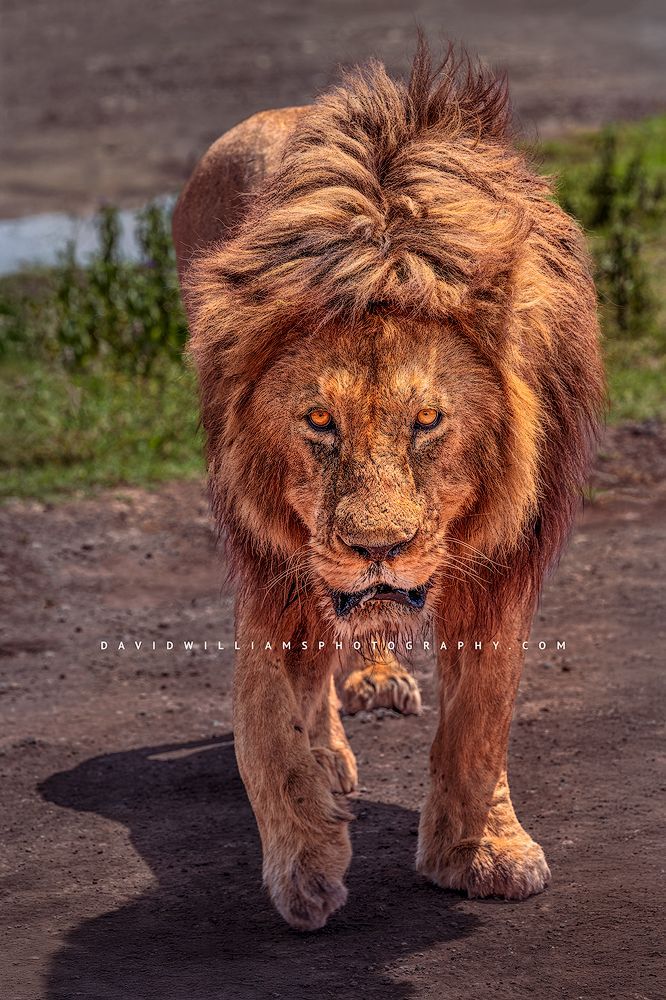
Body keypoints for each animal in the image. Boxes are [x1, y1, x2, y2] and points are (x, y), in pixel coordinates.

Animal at [173, 43, 605, 931]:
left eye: (428, 420)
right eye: (318, 420)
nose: (379, 547)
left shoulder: (504, 562)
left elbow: (480, 717)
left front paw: (479, 852)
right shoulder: (276, 560)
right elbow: (263, 718)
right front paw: (304, 856)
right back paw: (332, 756)